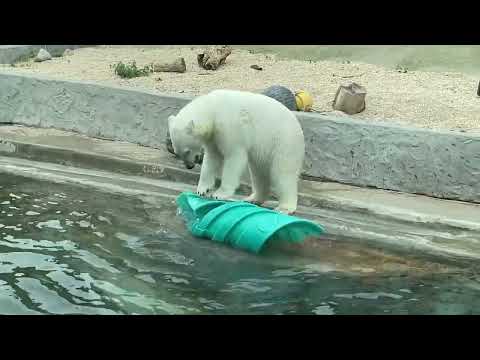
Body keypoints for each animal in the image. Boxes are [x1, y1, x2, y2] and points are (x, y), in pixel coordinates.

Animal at [169, 89, 304, 214]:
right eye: (177, 152)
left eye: (187, 151)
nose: (189, 166)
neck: (213, 108)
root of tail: (298, 127)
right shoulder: (214, 137)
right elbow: (212, 158)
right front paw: (202, 189)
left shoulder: (230, 128)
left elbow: (234, 158)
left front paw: (219, 194)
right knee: (258, 173)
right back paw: (253, 199)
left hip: (283, 141)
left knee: (283, 173)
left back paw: (284, 208)